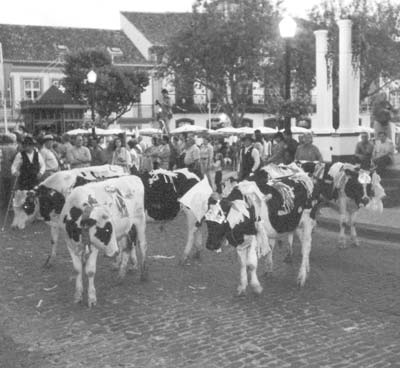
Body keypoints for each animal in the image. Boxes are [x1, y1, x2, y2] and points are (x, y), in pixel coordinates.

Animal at [60, 175, 146, 308]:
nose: (115, 252)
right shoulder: (70, 245)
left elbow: (90, 271)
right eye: (106, 230)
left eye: (109, 228)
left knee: (142, 246)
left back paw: (143, 274)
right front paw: (78, 295)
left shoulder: (94, 247)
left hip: (140, 221)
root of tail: (134, 177)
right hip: (126, 230)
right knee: (127, 248)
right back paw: (121, 275)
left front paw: (91, 298)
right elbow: (77, 269)